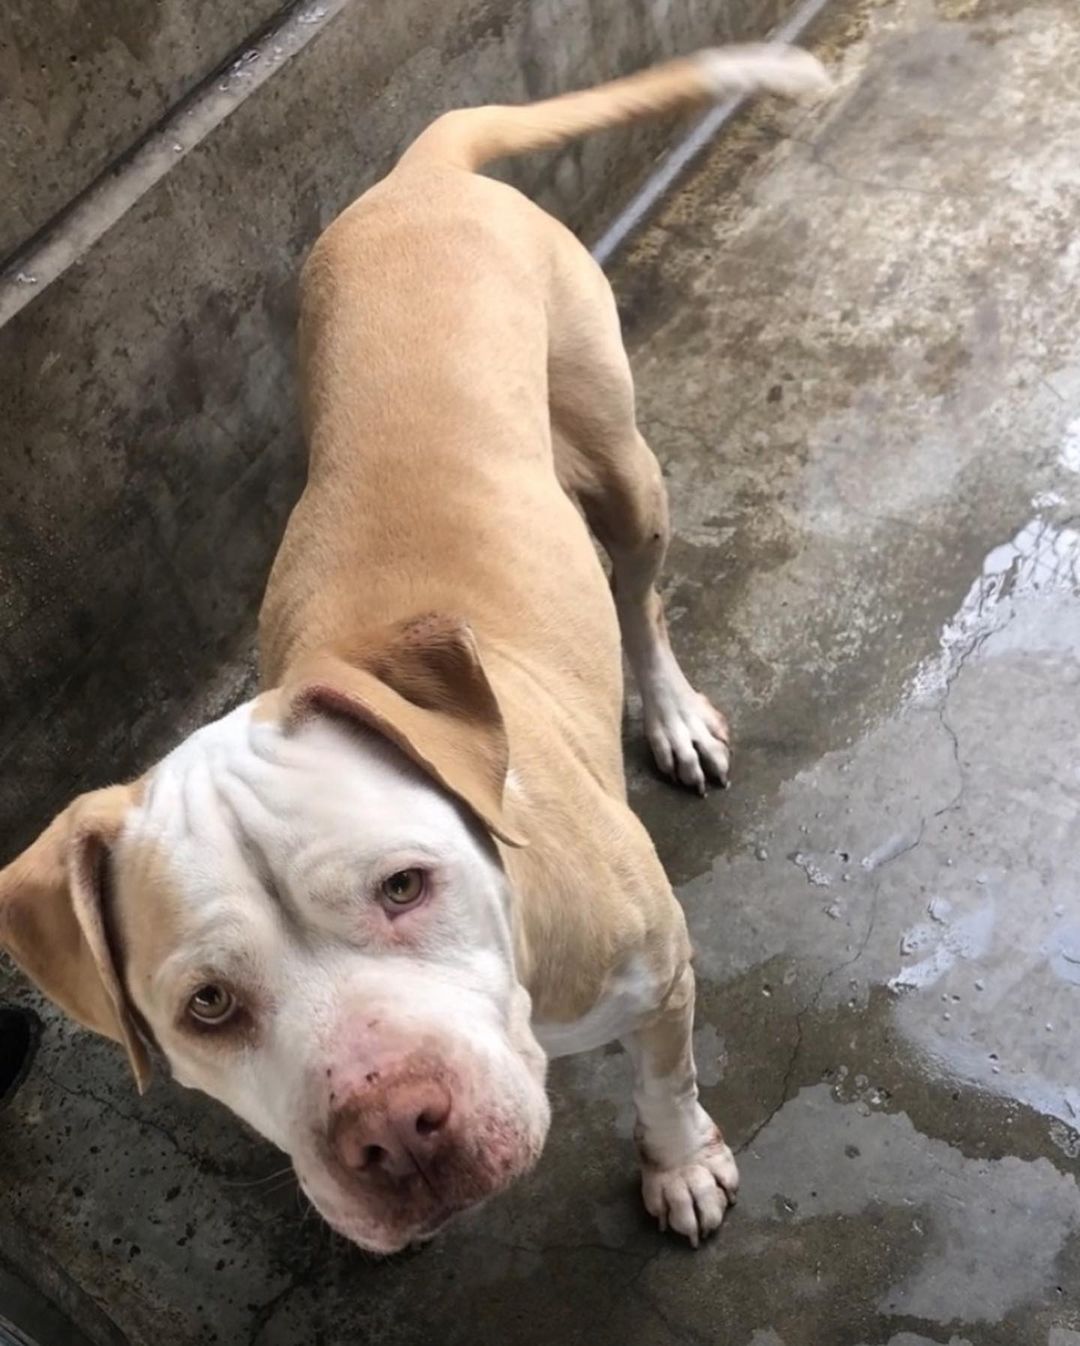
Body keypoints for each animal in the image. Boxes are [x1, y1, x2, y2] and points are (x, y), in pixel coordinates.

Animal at [0, 44, 829, 1259]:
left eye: (404, 885)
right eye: (209, 1005)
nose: (394, 1127)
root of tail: (421, 175)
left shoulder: (662, 973)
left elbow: (666, 1082)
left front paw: (678, 1166)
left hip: (621, 465)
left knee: (640, 596)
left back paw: (673, 714)